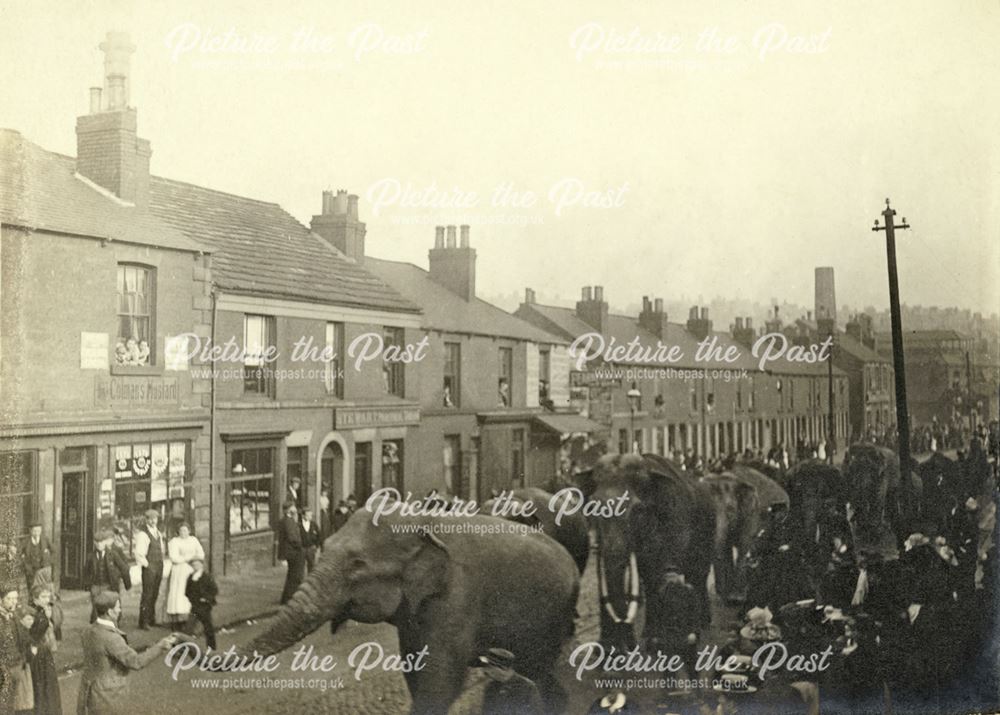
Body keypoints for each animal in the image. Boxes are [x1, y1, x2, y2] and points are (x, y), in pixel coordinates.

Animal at [234, 512, 580, 712]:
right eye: (326, 545)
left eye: (357, 564)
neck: (421, 522)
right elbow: (414, 668)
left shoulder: (456, 598)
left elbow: (440, 681)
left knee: (538, 669)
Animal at [572, 456, 720, 652]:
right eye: (593, 507)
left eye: (637, 510)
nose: (627, 646)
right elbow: (646, 574)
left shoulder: (675, 517)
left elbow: (660, 570)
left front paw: (653, 642)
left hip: (709, 526)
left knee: (698, 573)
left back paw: (703, 624)